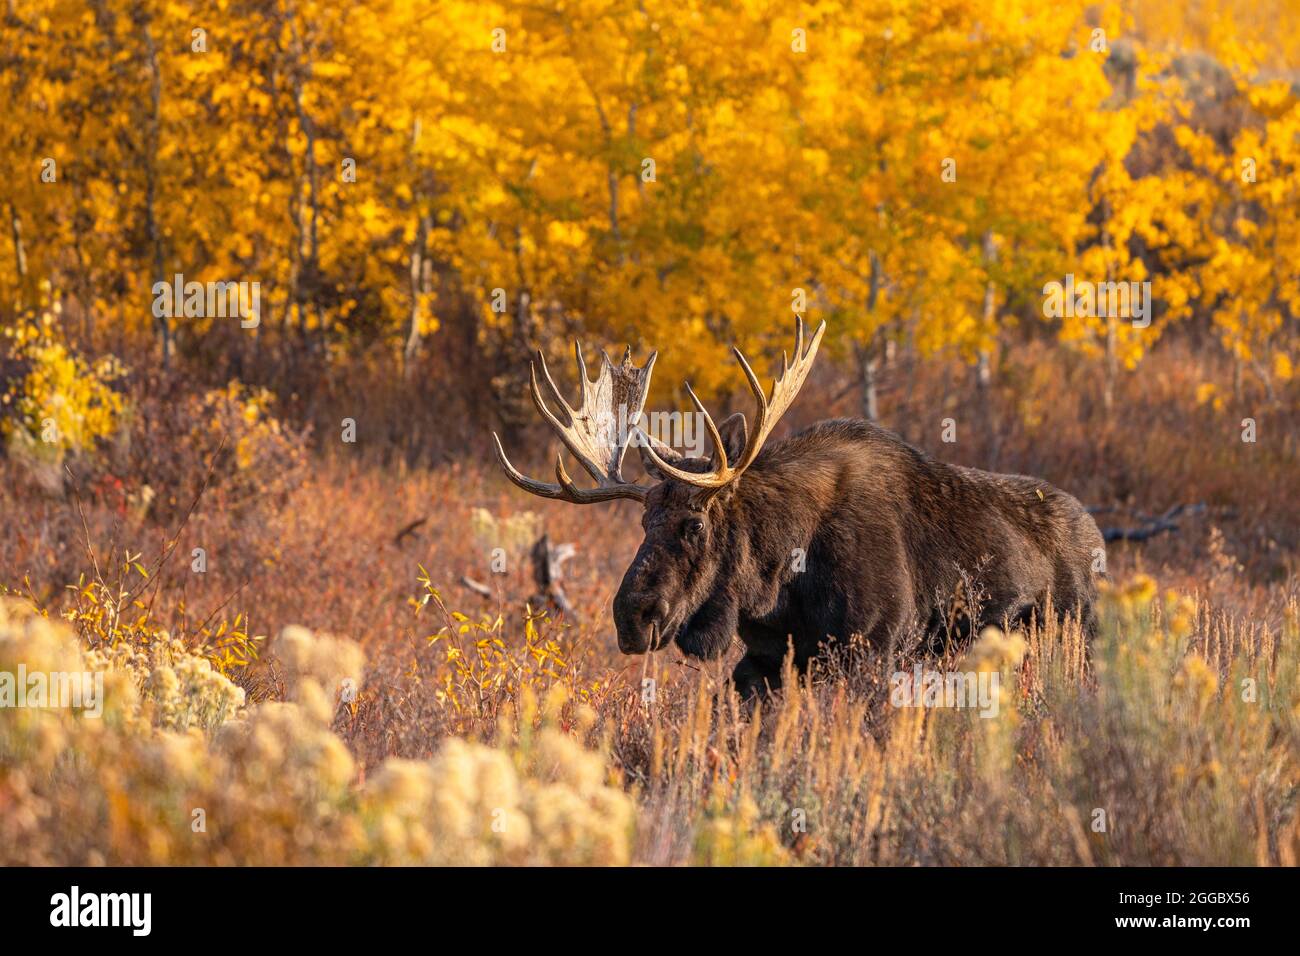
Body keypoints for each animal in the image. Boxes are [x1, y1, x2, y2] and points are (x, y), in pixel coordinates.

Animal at [491, 317, 1102, 697]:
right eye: (643, 522)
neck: (779, 581)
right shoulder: (764, 660)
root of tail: (1096, 538)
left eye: (694, 524)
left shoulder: (872, 649)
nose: (631, 617)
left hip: (1079, 637)